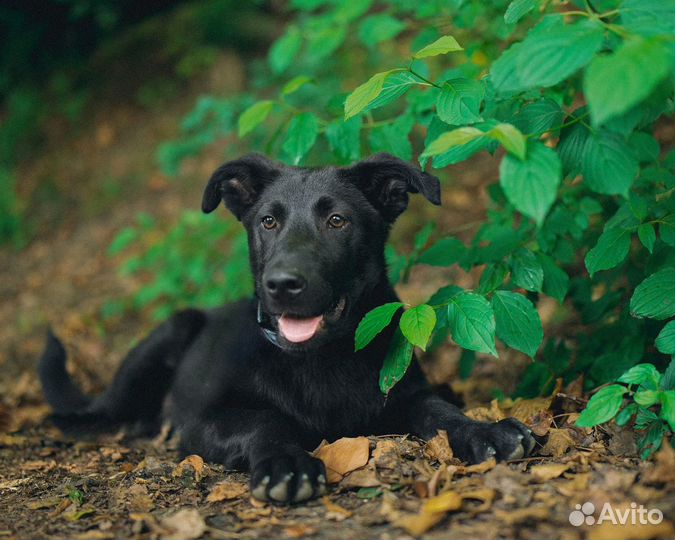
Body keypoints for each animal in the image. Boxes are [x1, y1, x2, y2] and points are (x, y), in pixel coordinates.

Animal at [39, 152, 536, 502]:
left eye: (337, 220)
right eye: (268, 221)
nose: (281, 284)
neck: (319, 360)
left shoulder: (403, 394)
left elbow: (439, 410)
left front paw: (484, 431)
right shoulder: (204, 420)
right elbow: (266, 419)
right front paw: (286, 464)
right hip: (170, 332)